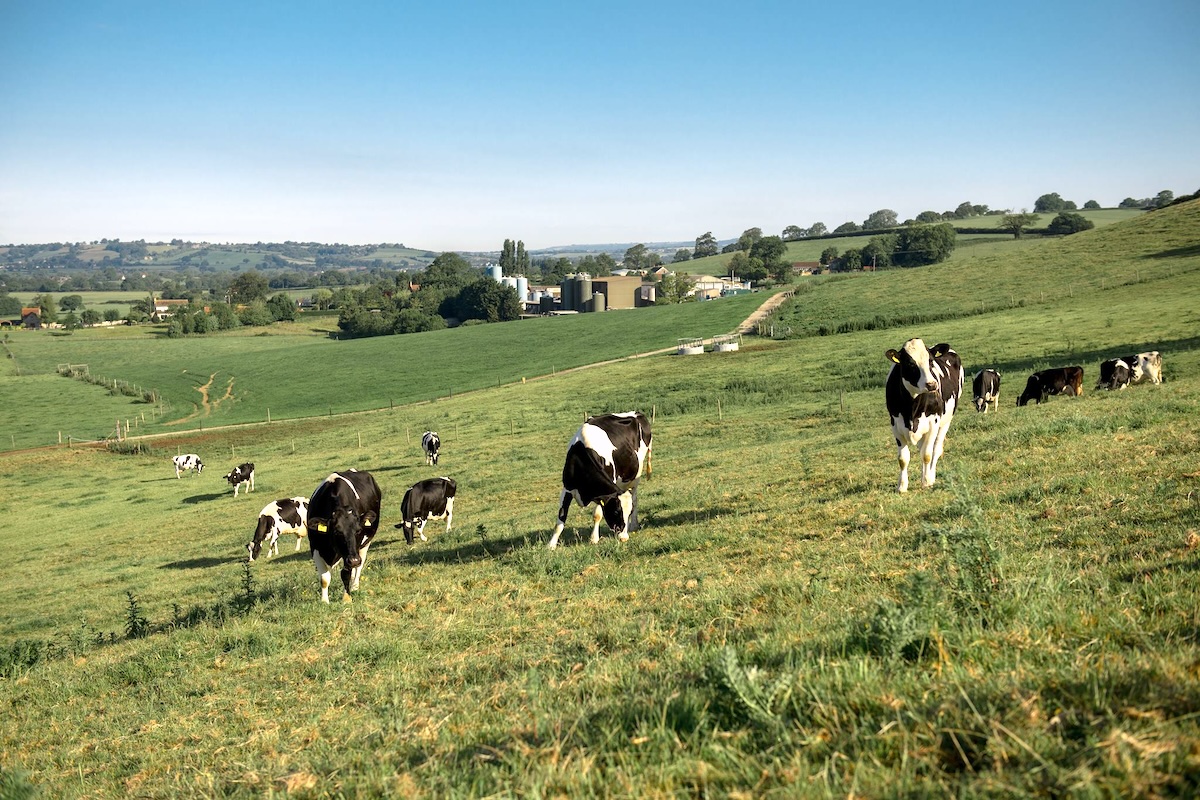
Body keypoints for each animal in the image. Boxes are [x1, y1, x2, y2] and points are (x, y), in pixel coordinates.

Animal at [306, 470, 382, 603]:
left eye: (358, 530)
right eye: (337, 531)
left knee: (359, 565)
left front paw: (346, 598)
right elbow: (324, 578)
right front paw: (324, 601)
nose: (354, 560)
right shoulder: (315, 547)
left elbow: (345, 573)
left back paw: (355, 586)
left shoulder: (351, 552)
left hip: (364, 544)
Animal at [548, 411, 653, 549]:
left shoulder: (603, 493)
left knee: (635, 500)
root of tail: (637, 413)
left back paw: (634, 525)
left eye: (628, 513)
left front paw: (594, 539)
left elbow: (597, 514)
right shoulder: (567, 488)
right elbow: (561, 518)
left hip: (636, 477)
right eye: (616, 511)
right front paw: (551, 545)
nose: (624, 538)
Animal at [885, 338, 963, 493]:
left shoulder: (933, 423)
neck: (912, 409)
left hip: (946, 421)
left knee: (935, 450)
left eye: (931, 361)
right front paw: (902, 486)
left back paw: (930, 476)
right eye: (910, 364)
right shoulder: (895, 426)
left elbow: (927, 455)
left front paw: (926, 481)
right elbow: (903, 458)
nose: (932, 385)